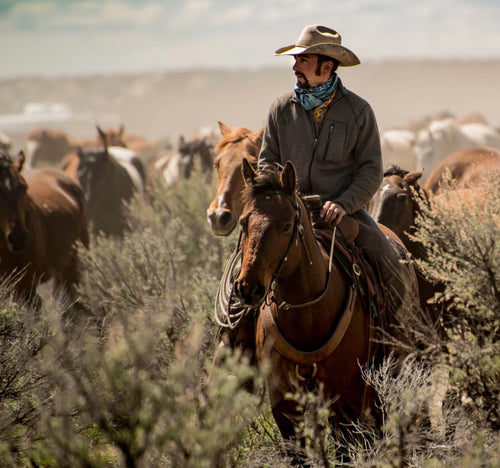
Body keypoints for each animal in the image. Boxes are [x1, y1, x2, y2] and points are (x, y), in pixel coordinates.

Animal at [234, 160, 418, 446]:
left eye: (286, 225)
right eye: (244, 222)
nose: (248, 288)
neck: (306, 315)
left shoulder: (344, 397)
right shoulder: (283, 403)